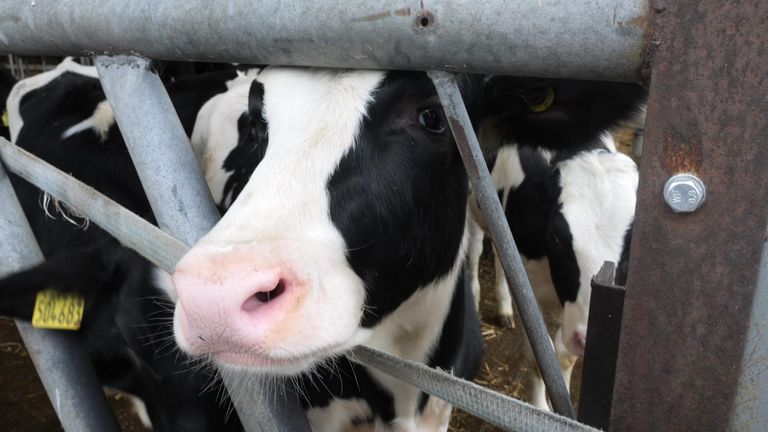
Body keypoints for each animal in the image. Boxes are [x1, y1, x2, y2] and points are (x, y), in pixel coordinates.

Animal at [466, 134, 638, 410]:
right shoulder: (531, 296)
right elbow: (540, 358)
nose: (587, 338)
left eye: (632, 245)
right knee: (474, 246)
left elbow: (564, 359)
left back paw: (504, 309)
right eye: (555, 238)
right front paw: (540, 407)